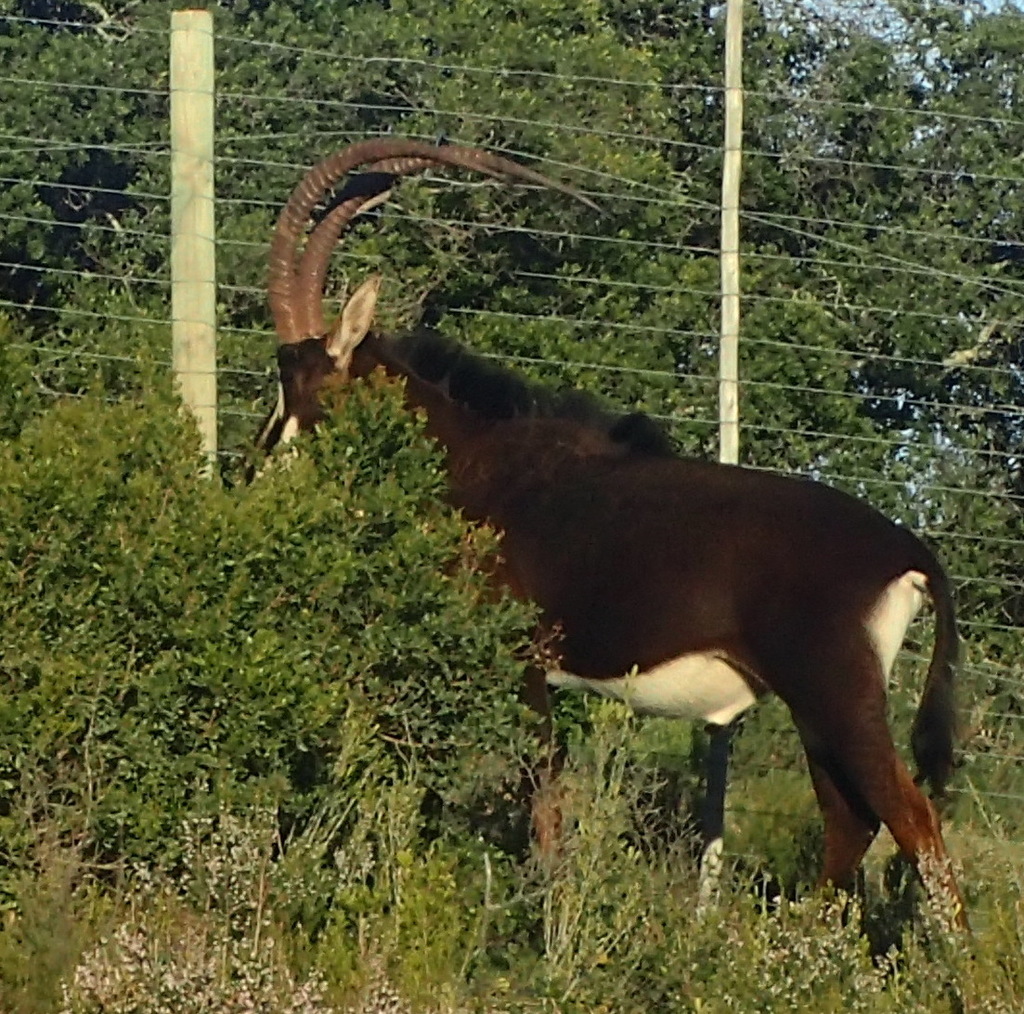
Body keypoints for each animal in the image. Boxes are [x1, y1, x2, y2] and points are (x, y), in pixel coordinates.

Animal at [253, 139, 965, 925]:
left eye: (303, 387)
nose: (254, 478)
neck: (469, 461)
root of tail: (908, 550)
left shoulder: (522, 664)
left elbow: (542, 794)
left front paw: (546, 921)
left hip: (839, 697)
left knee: (913, 821)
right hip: (818, 710)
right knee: (851, 823)